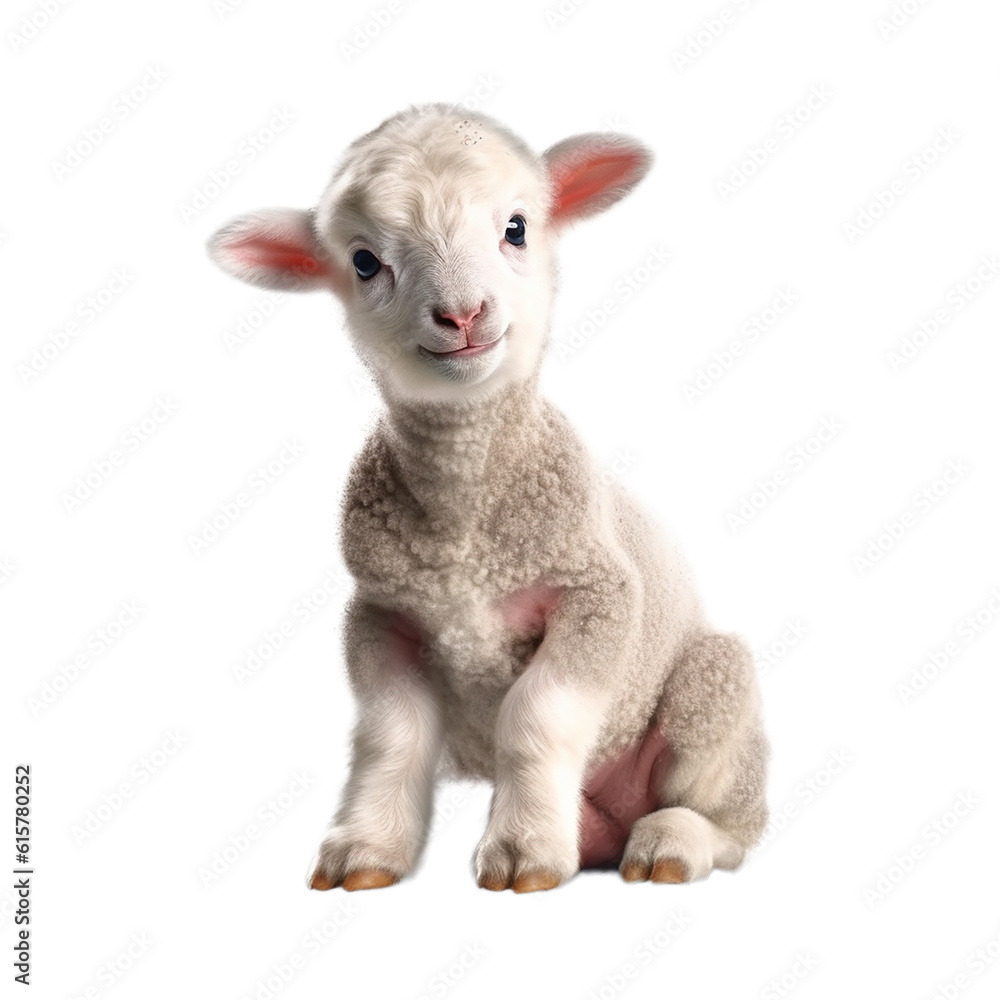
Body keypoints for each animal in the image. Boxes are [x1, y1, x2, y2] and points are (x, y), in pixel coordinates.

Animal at [207, 103, 770, 893]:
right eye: (363, 261)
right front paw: (365, 850)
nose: (463, 314)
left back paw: (671, 843)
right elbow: (391, 737)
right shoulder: (379, 616)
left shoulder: (597, 592)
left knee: (731, 822)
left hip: (712, 694)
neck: (464, 526)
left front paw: (524, 852)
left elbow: (536, 717)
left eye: (516, 228)